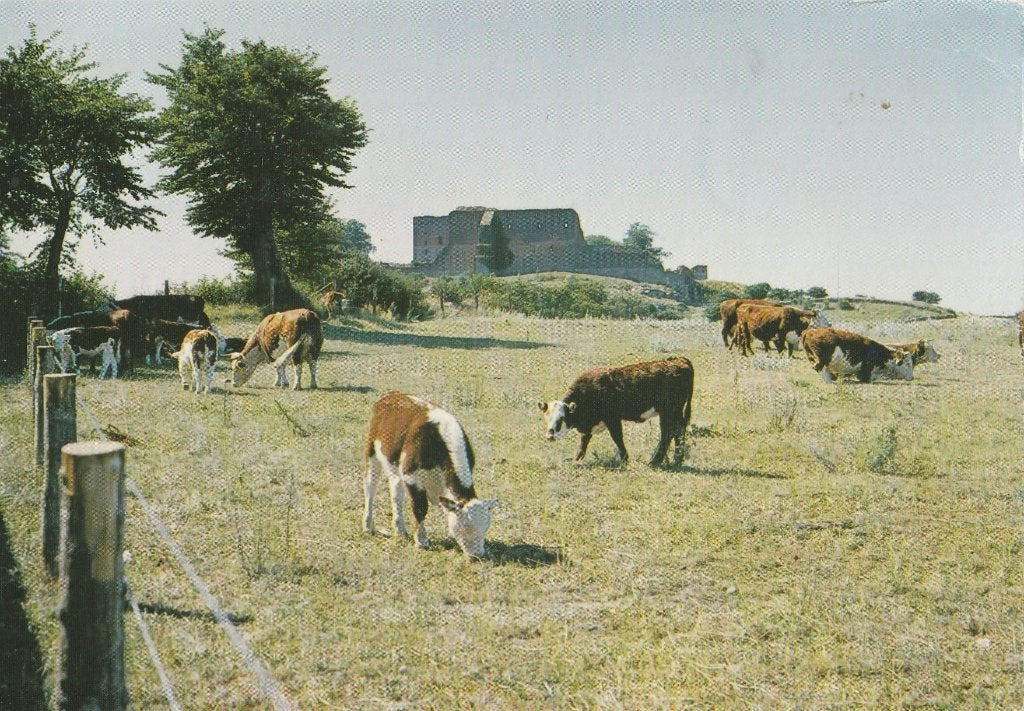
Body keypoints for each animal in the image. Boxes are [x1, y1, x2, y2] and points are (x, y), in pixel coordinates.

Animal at [363, 391, 498, 559]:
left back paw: (400, 530)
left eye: (486, 527)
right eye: (466, 526)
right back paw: (368, 526)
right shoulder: (411, 475)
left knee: (396, 493)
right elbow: (420, 508)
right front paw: (421, 541)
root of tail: (392, 394)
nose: (478, 555)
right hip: (371, 450)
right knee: (370, 487)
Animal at [538, 357, 694, 466]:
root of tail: (678, 360)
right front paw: (577, 458)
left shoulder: (612, 418)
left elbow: (617, 438)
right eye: (547, 418)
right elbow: (584, 439)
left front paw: (624, 459)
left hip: (669, 411)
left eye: (562, 419)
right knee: (678, 431)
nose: (549, 436)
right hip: (674, 412)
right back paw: (677, 460)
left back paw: (655, 461)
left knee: (668, 433)